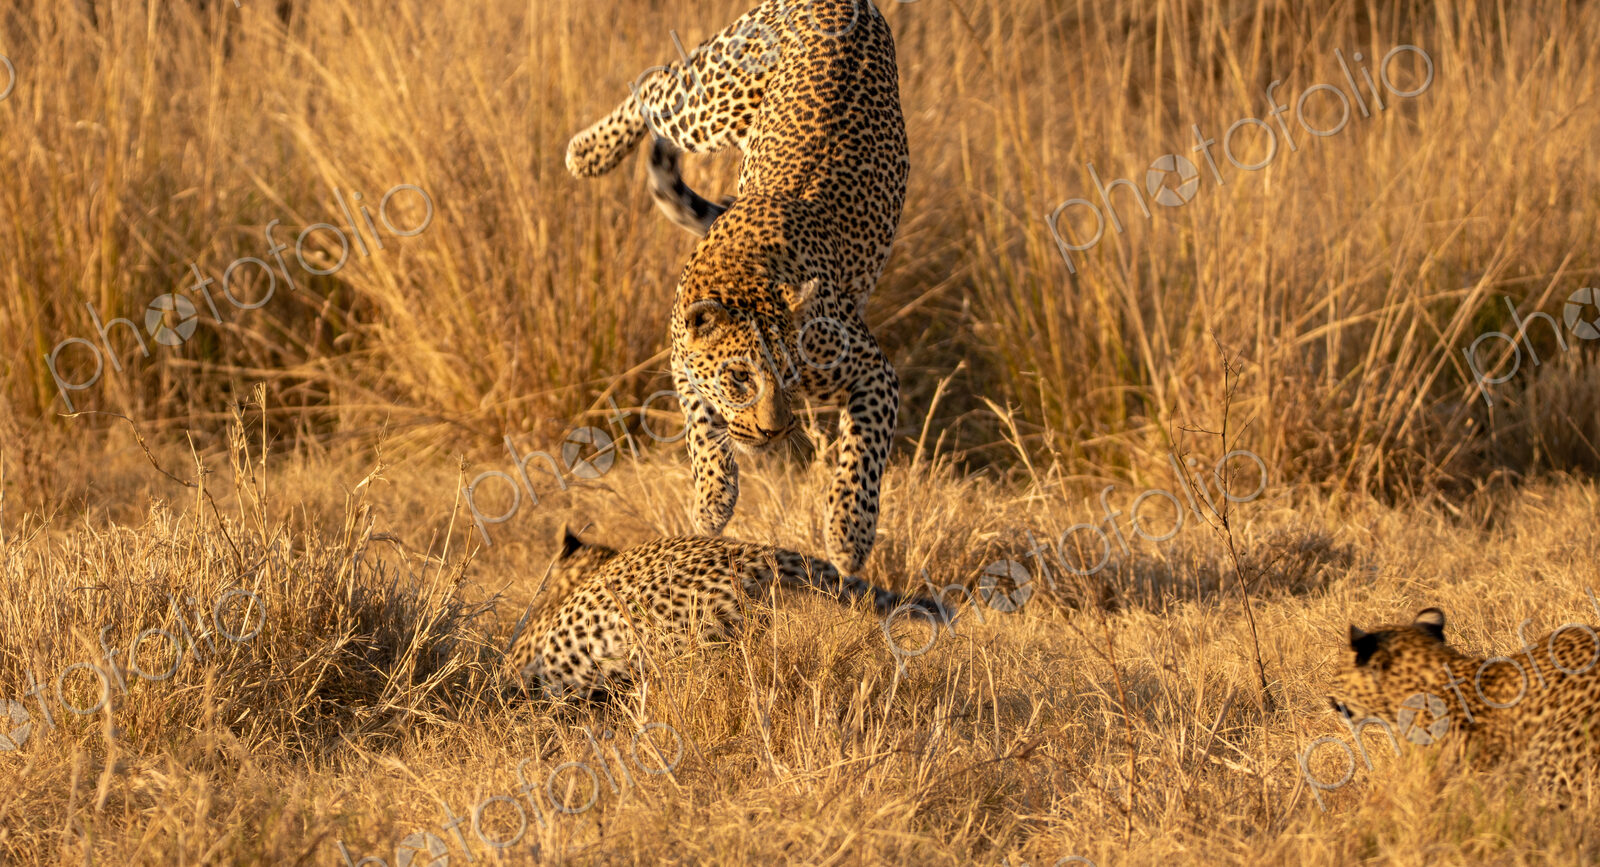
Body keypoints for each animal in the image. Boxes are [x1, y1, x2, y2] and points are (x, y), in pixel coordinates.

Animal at [564, 0, 910, 575]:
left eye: (791, 373)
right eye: (740, 379)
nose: (774, 432)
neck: (743, 272)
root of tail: (846, 2)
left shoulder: (872, 372)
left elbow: (863, 453)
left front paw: (849, 534)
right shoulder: (681, 364)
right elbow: (702, 431)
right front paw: (712, 500)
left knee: (655, 85)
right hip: (710, 102)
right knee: (654, 84)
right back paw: (588, 152)